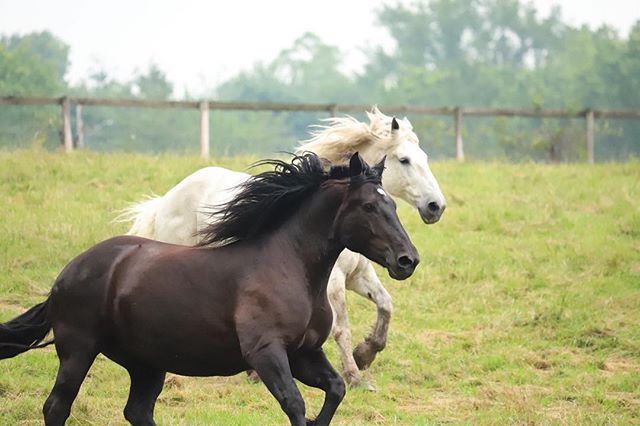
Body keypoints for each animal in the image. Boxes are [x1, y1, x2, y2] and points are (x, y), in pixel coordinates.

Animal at [0, 153, 418, 426]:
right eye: (369, 206)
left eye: (394, 206)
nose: (407, 260)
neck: (289, 266)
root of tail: (66, 274)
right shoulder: (266, 352)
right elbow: (295, 404)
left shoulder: (305, 353)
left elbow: (335, 390)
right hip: (78, 350)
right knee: (57, 407)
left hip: (146, 363)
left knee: (137, 411)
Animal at [120, 107, 446, 388]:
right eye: (404, 160)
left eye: (424, 157)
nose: (436, 206)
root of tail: (166, 200)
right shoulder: (333, 283)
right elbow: (342, 327)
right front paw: (355, 376)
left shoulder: (359, 276)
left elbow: (386, 305)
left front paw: (365, 354)